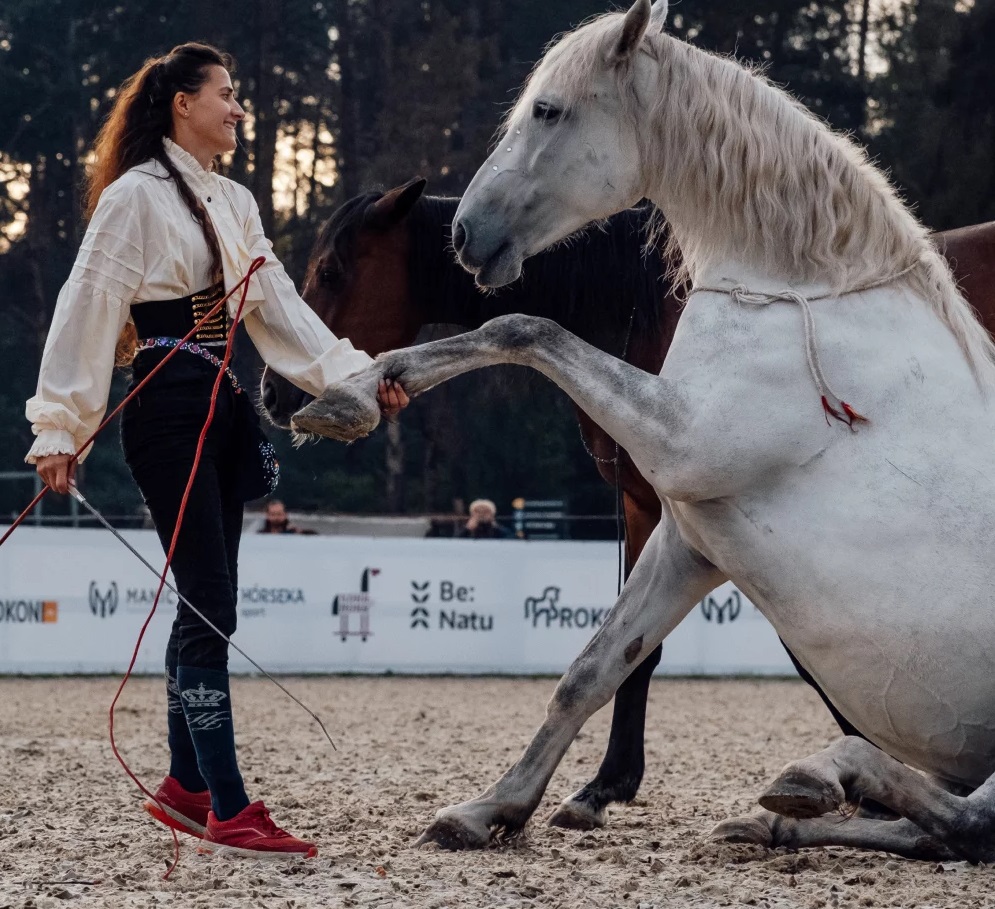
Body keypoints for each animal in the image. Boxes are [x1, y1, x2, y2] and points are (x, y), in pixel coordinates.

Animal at [298, 0, 995, 860]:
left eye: (547, 110)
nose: (465, 234)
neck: (800, 294)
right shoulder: (688, 535)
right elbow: (593, 668)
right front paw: (494, 807)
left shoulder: (680, 447)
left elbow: (523, 328)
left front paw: (351, 396)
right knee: (943, 830)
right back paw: (775, 815)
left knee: (967, 821)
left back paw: (817, 774)